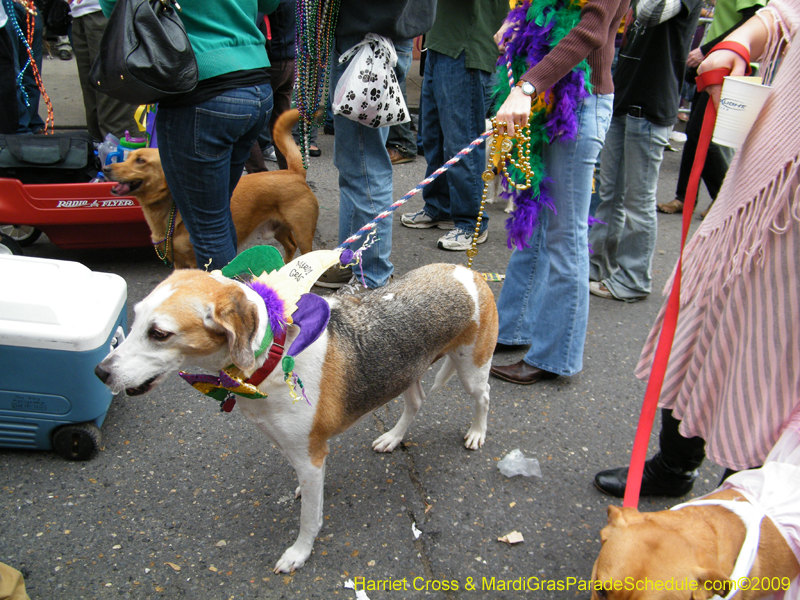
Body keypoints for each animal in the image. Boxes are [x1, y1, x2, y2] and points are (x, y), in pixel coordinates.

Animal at [92, 262, 494, 572]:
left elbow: (309, 519)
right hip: (404, 373)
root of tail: (468, 271)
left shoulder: (311, 455)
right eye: (135, 317)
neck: (272, 354)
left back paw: (476, 432)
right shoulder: (293, 447)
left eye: (160, 333)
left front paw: (299, 553)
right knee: (416, 402)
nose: (100, 372)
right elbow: (305, 486)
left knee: (484, 397)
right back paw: (393, 437)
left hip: (472, 370)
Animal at [103, 107, 318, 268]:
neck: (168, 214)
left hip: (303, 234)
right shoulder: (178, 264)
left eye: (140, 161)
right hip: (279, 229)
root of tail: (293, 172)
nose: (105, 168)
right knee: (290, 247)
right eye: (127, 158)